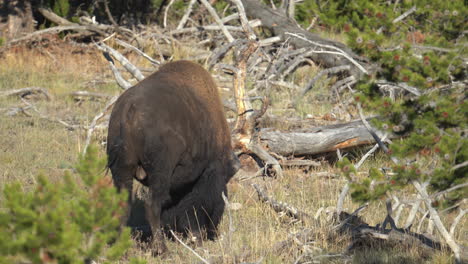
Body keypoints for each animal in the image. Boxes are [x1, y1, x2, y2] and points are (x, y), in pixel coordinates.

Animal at [107, 59, 239, 254]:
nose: (212, 233)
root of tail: (130, 110)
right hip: (160, 171)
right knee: (152, 206)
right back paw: (162, 250)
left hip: (122, 170)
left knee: (124, 206)